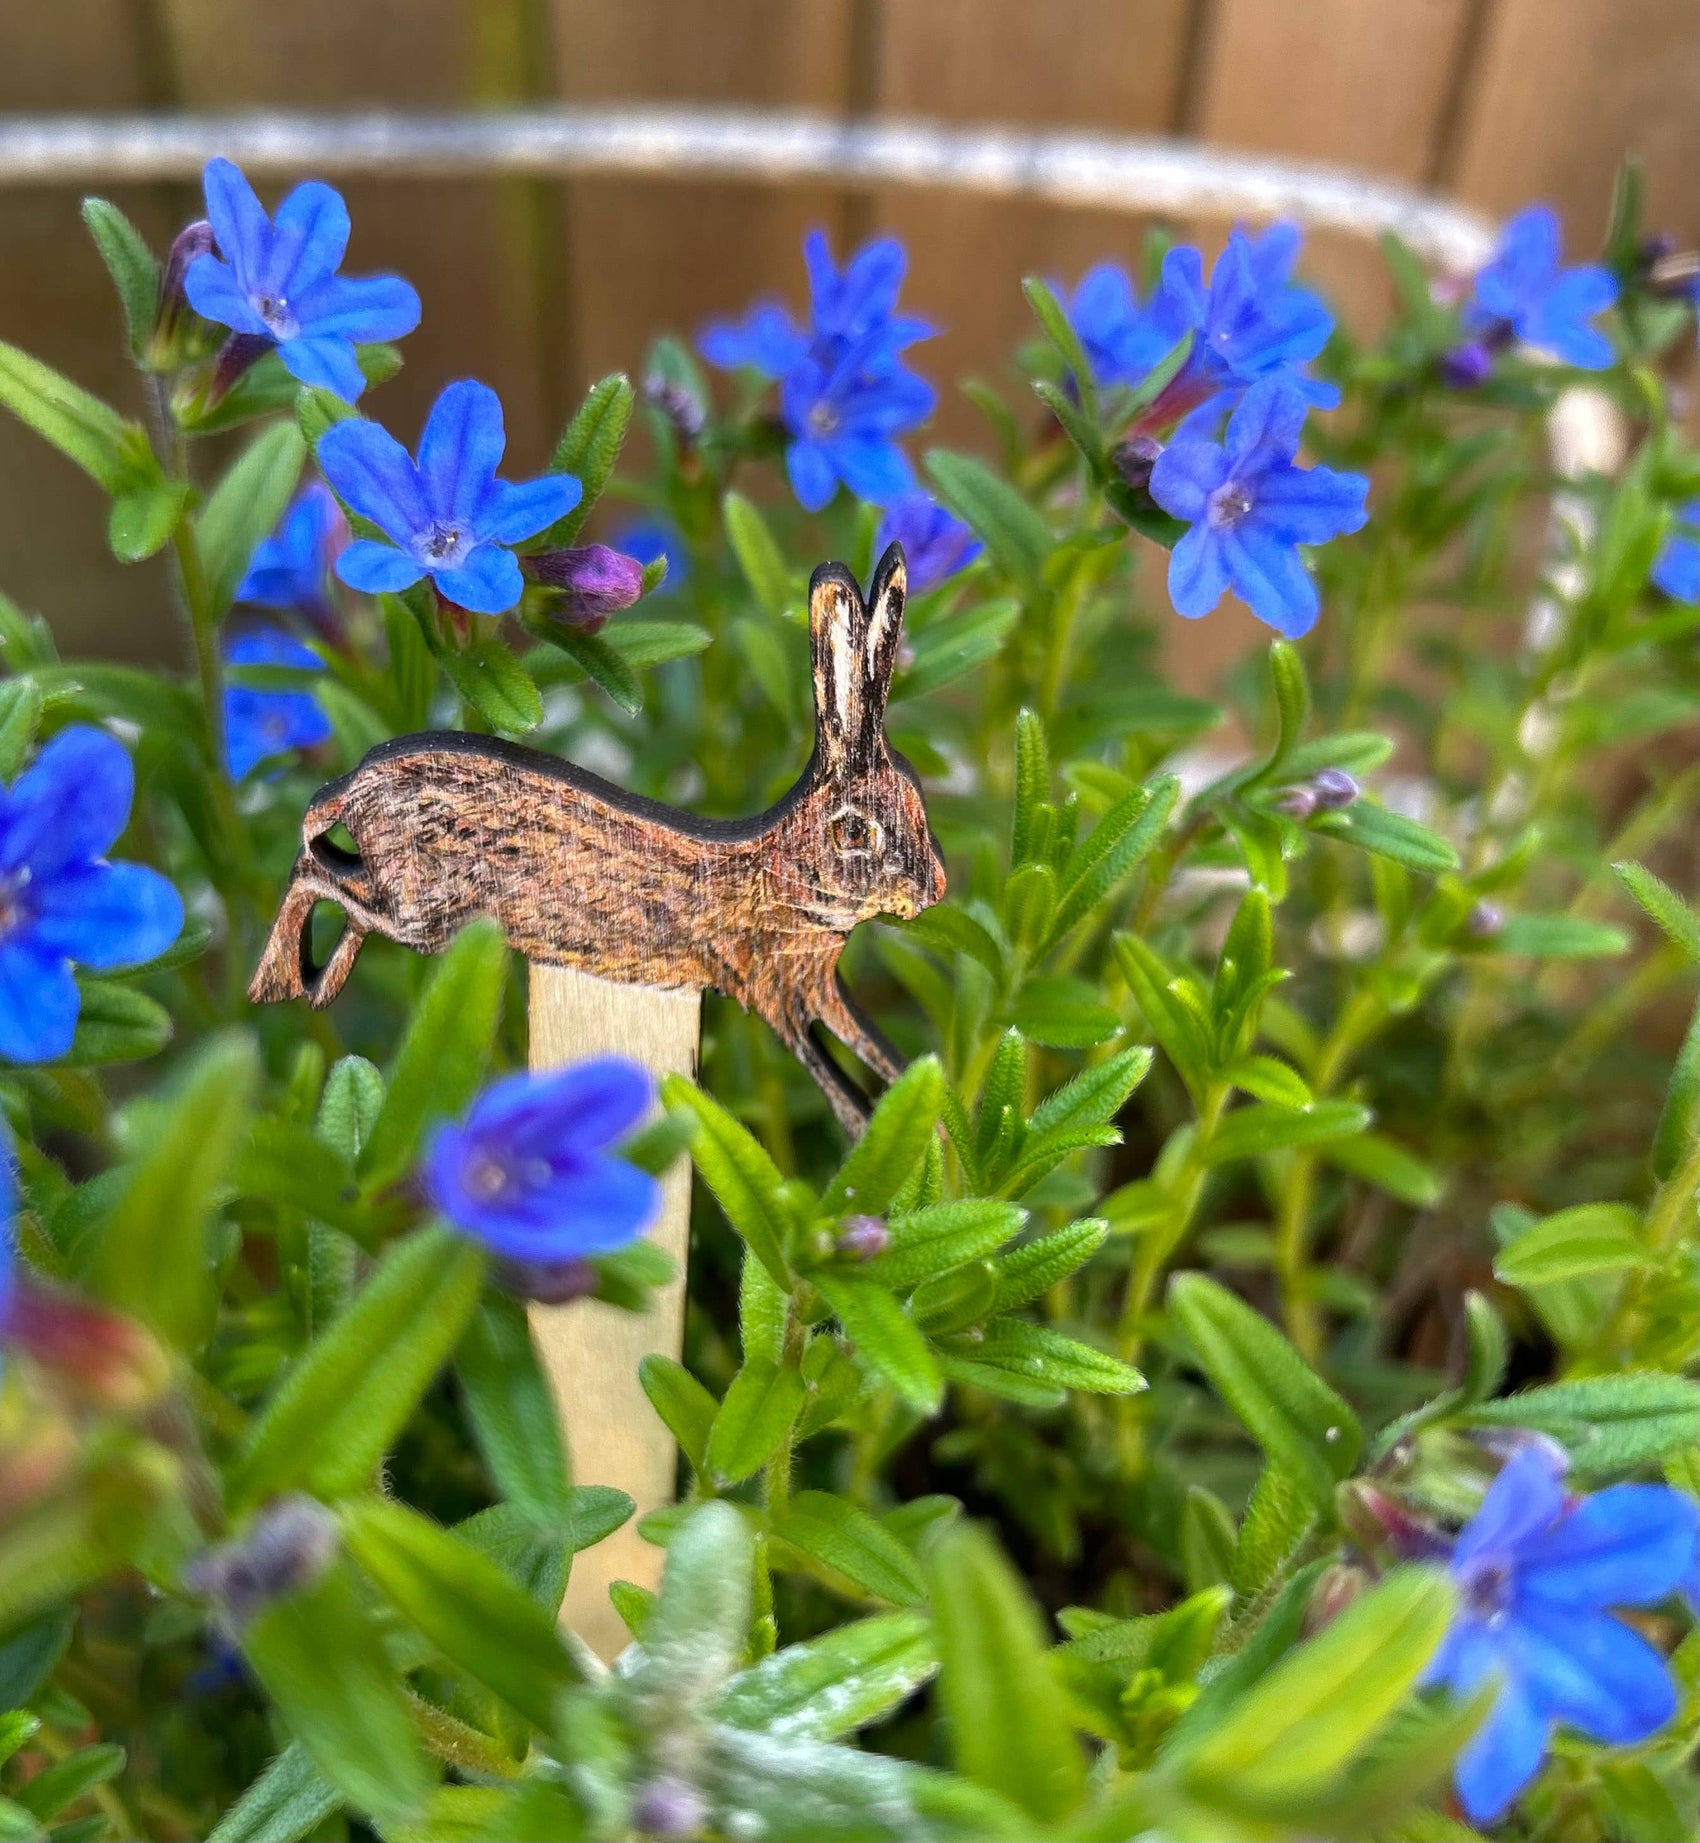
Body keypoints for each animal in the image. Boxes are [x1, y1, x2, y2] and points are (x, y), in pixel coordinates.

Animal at [249, 541, 946, 1134]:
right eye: (854, 831)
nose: (935, 892)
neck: (780, 876)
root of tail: (354, 783)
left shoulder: (816, 990)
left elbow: (868, 1050)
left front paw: (929, 1127)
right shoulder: (774, 992)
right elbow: (827, 1068)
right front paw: (878, 1132)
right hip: (425, 912)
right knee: (317, 876)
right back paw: (283, 983)